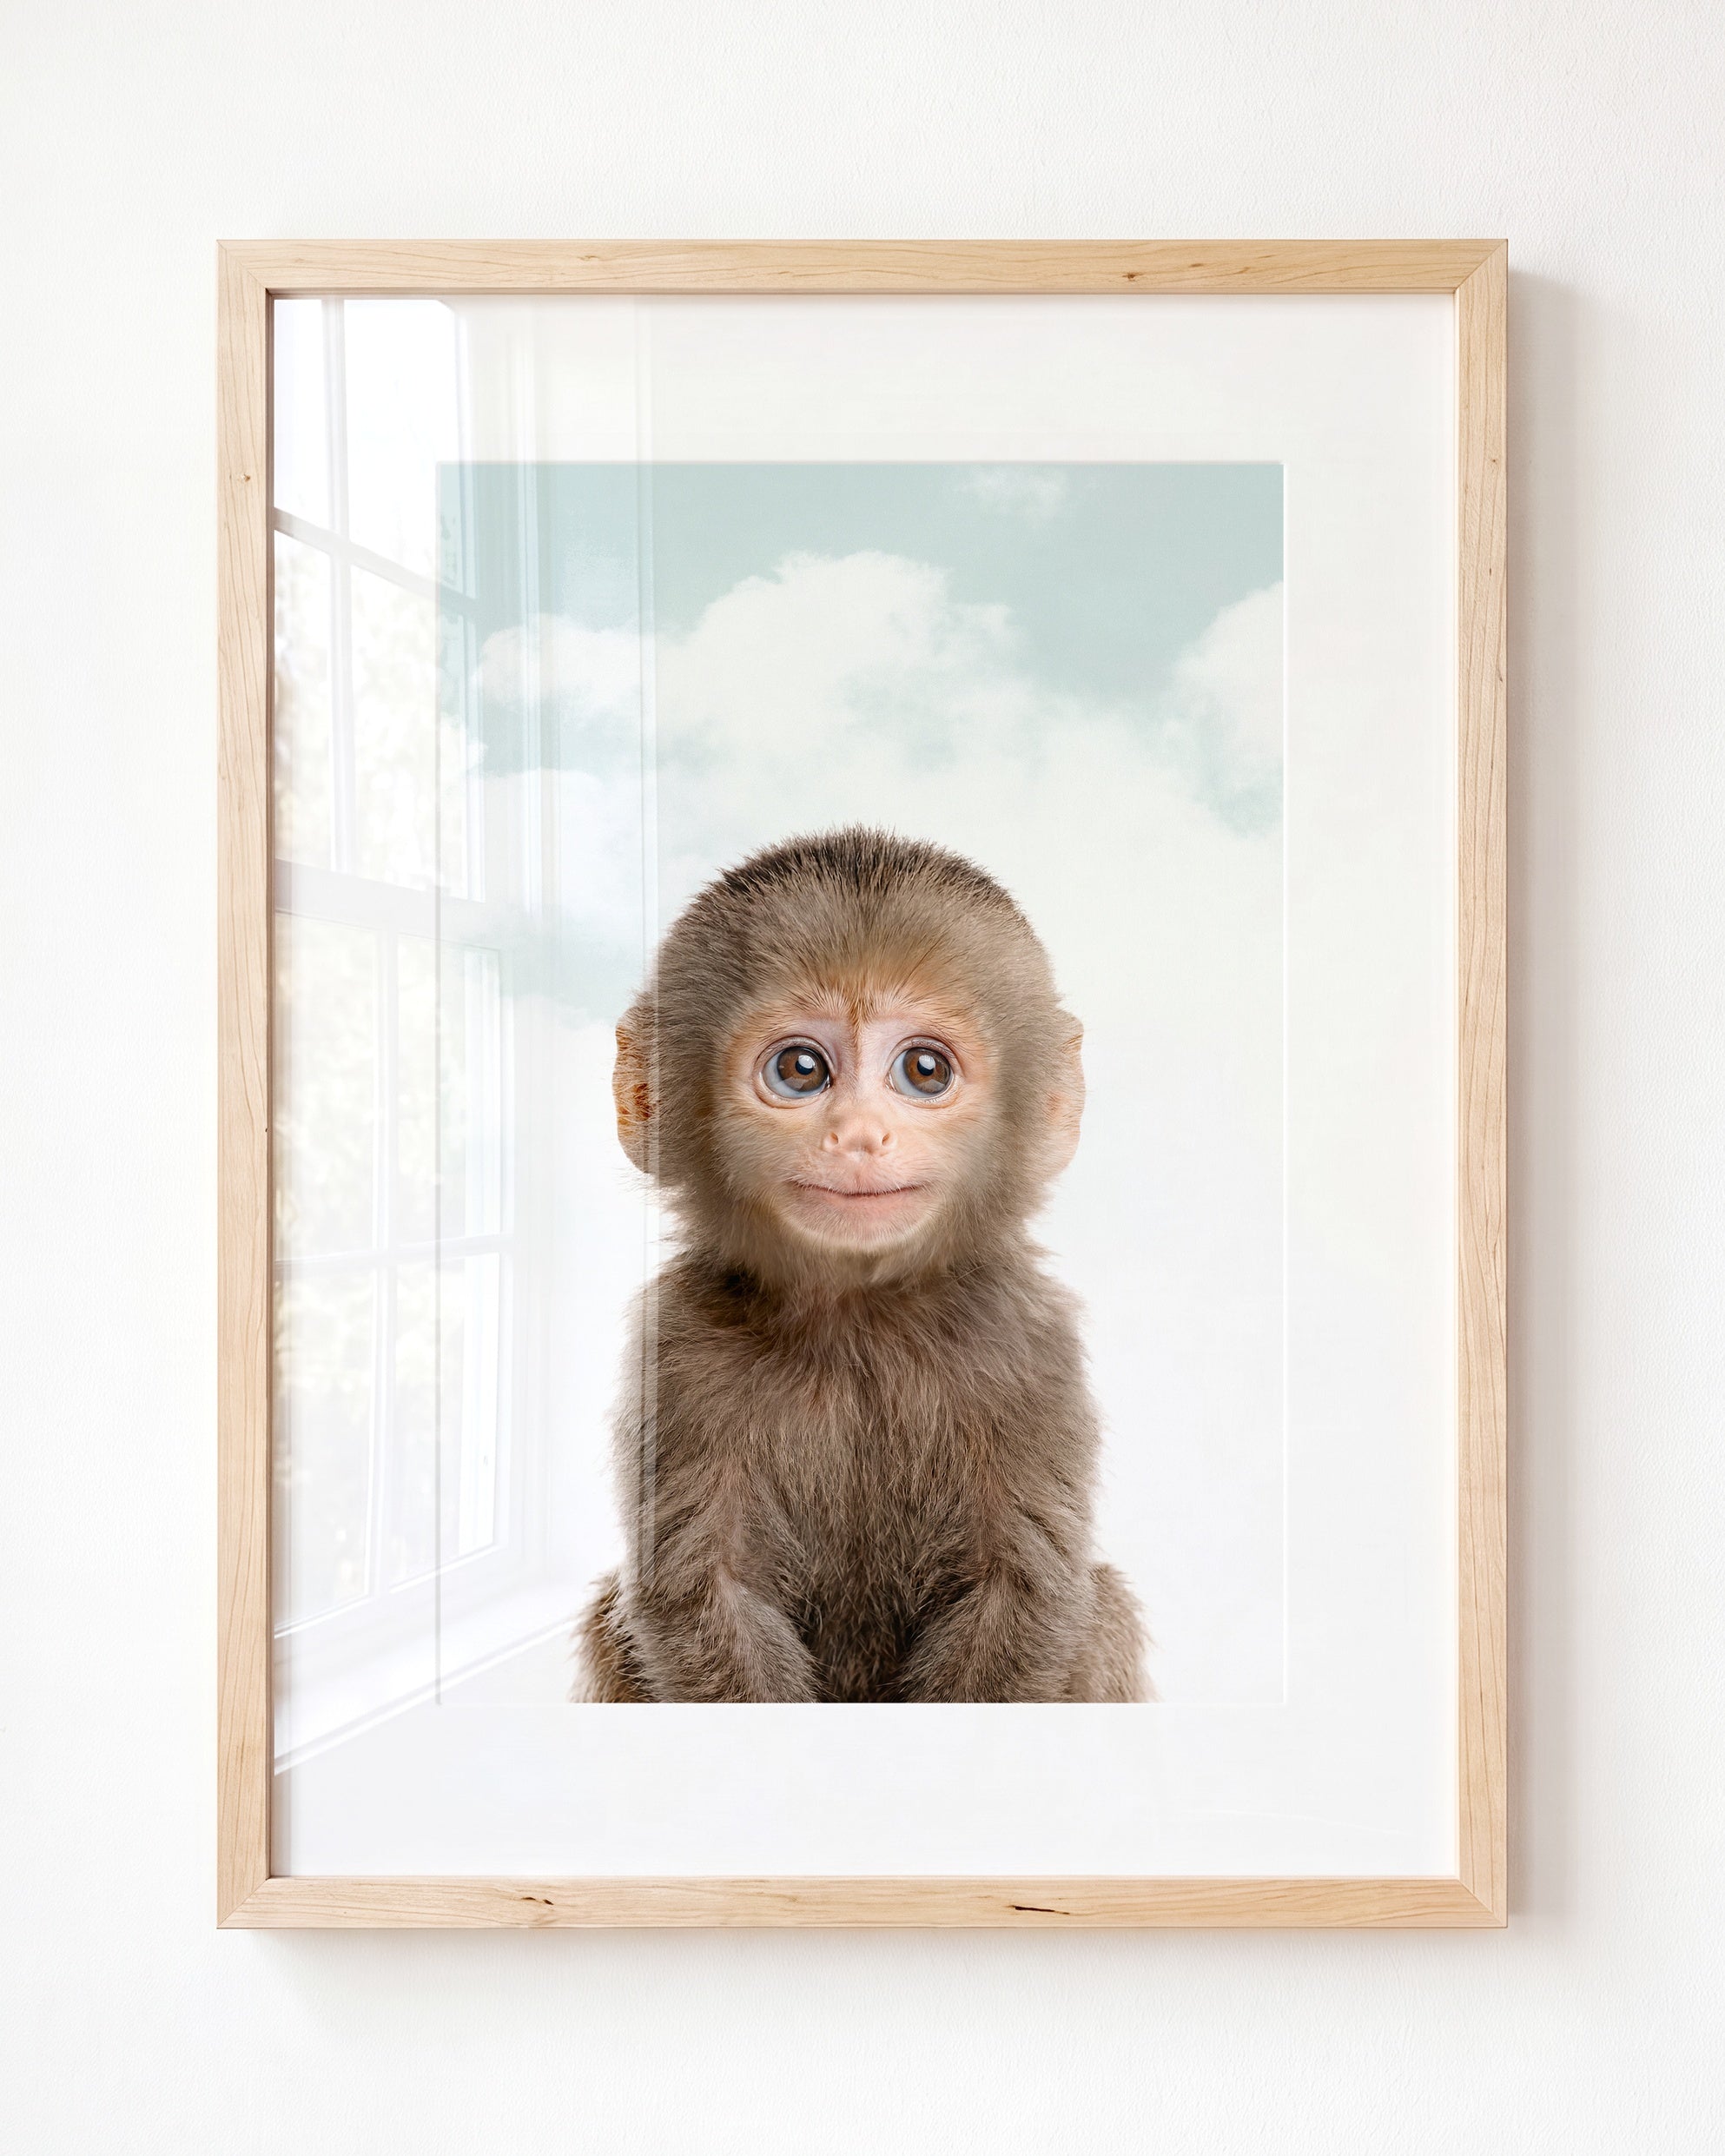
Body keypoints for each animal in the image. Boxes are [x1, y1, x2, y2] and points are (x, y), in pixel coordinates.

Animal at [574, 826, 1146, 1703]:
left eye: (924, 1070)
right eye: (801, 1069)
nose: (859, 1136)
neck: (859, 1320)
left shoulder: (1030, 1345)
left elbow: (1020, 1589)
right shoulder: (676, 1350)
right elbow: (704, 1593)